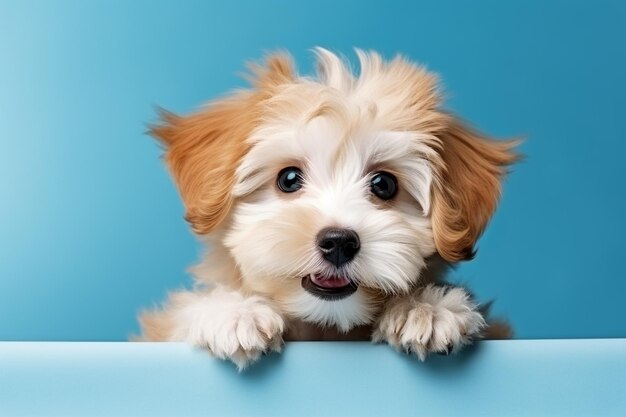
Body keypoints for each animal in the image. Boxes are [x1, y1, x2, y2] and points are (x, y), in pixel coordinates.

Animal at [140, 47, 516, 368]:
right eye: (289, 179)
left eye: (384, 184)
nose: (338, 242)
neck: (324, 328)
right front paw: (233, 311)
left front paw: (425, 307)